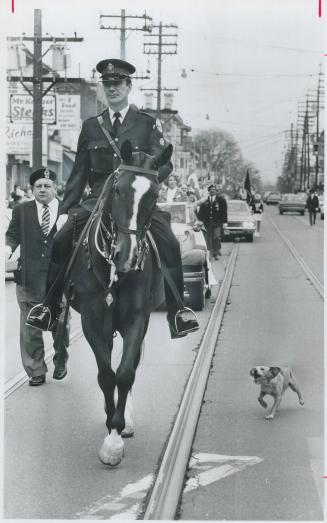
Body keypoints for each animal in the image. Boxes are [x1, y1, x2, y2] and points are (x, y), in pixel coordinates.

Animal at [67, 140, 174, 466]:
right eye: (117, 188)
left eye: (154, 194)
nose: (126, 256)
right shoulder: (91, 320)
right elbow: (106, 375)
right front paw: (109, 426)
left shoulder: (136, 318)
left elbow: (125, 373)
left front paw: (115, 436)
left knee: (132, 362)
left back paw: (124, 417)